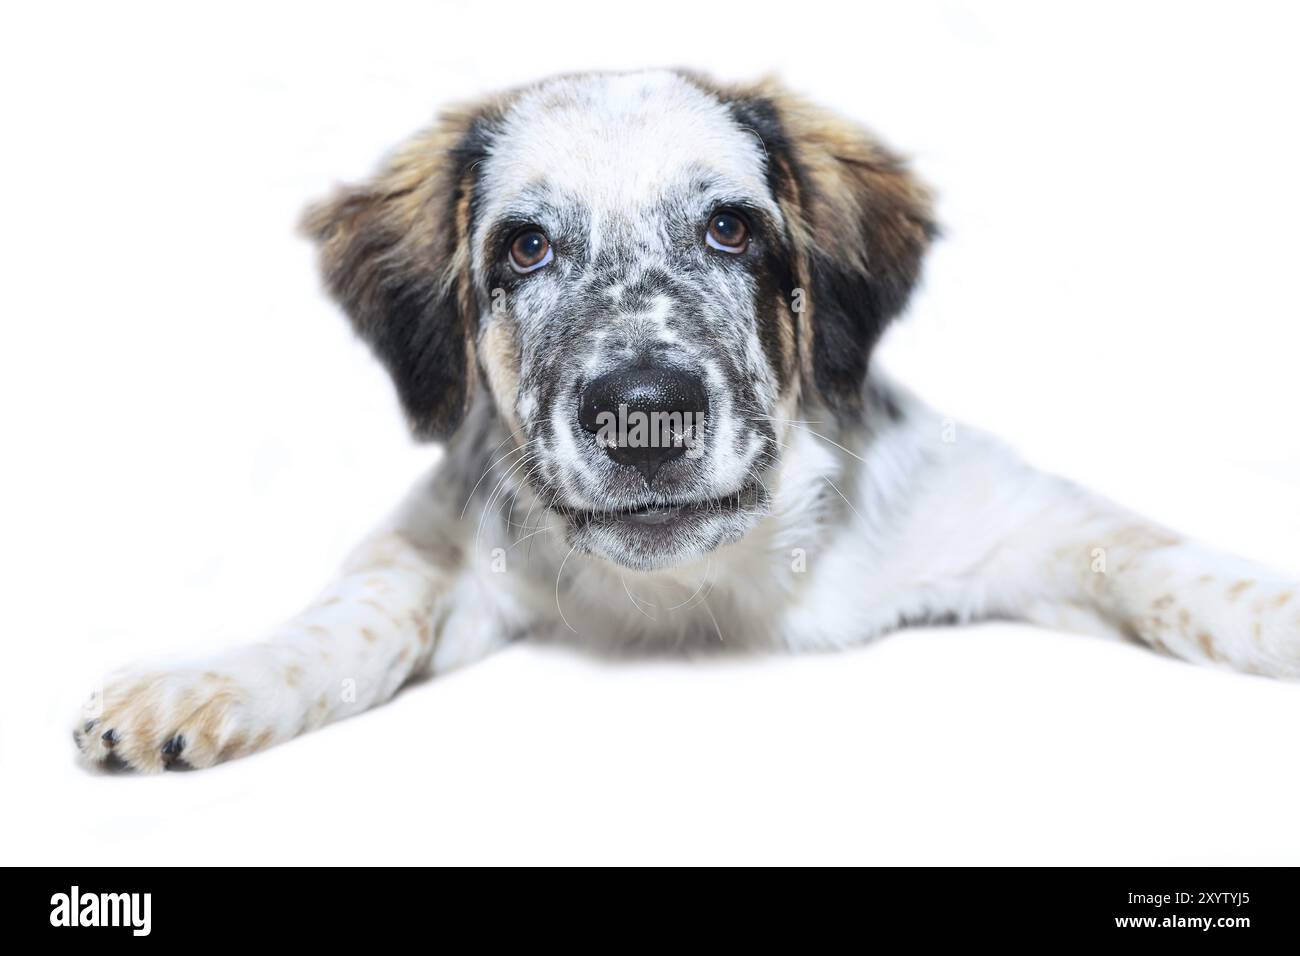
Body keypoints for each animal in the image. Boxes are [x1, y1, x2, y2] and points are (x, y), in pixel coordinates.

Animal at [73, 69, 1300, 770]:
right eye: (526, 247)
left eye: (730, 228)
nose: (643, 417)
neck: (699, 590)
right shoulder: (446, 530)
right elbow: (359, 609)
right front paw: (222, 677)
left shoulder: (1010, 517)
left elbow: (1158, 562)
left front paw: (1276, 613)